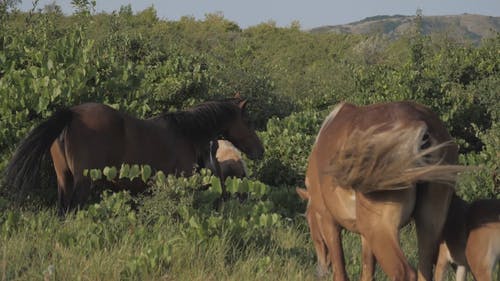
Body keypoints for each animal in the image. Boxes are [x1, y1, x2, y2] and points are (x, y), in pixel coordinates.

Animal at [5, 94, 264, 212]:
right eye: (248, 121)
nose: (260, 150)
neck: (185, 132)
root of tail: (71, 114)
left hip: (64, 178)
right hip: (83, 181)